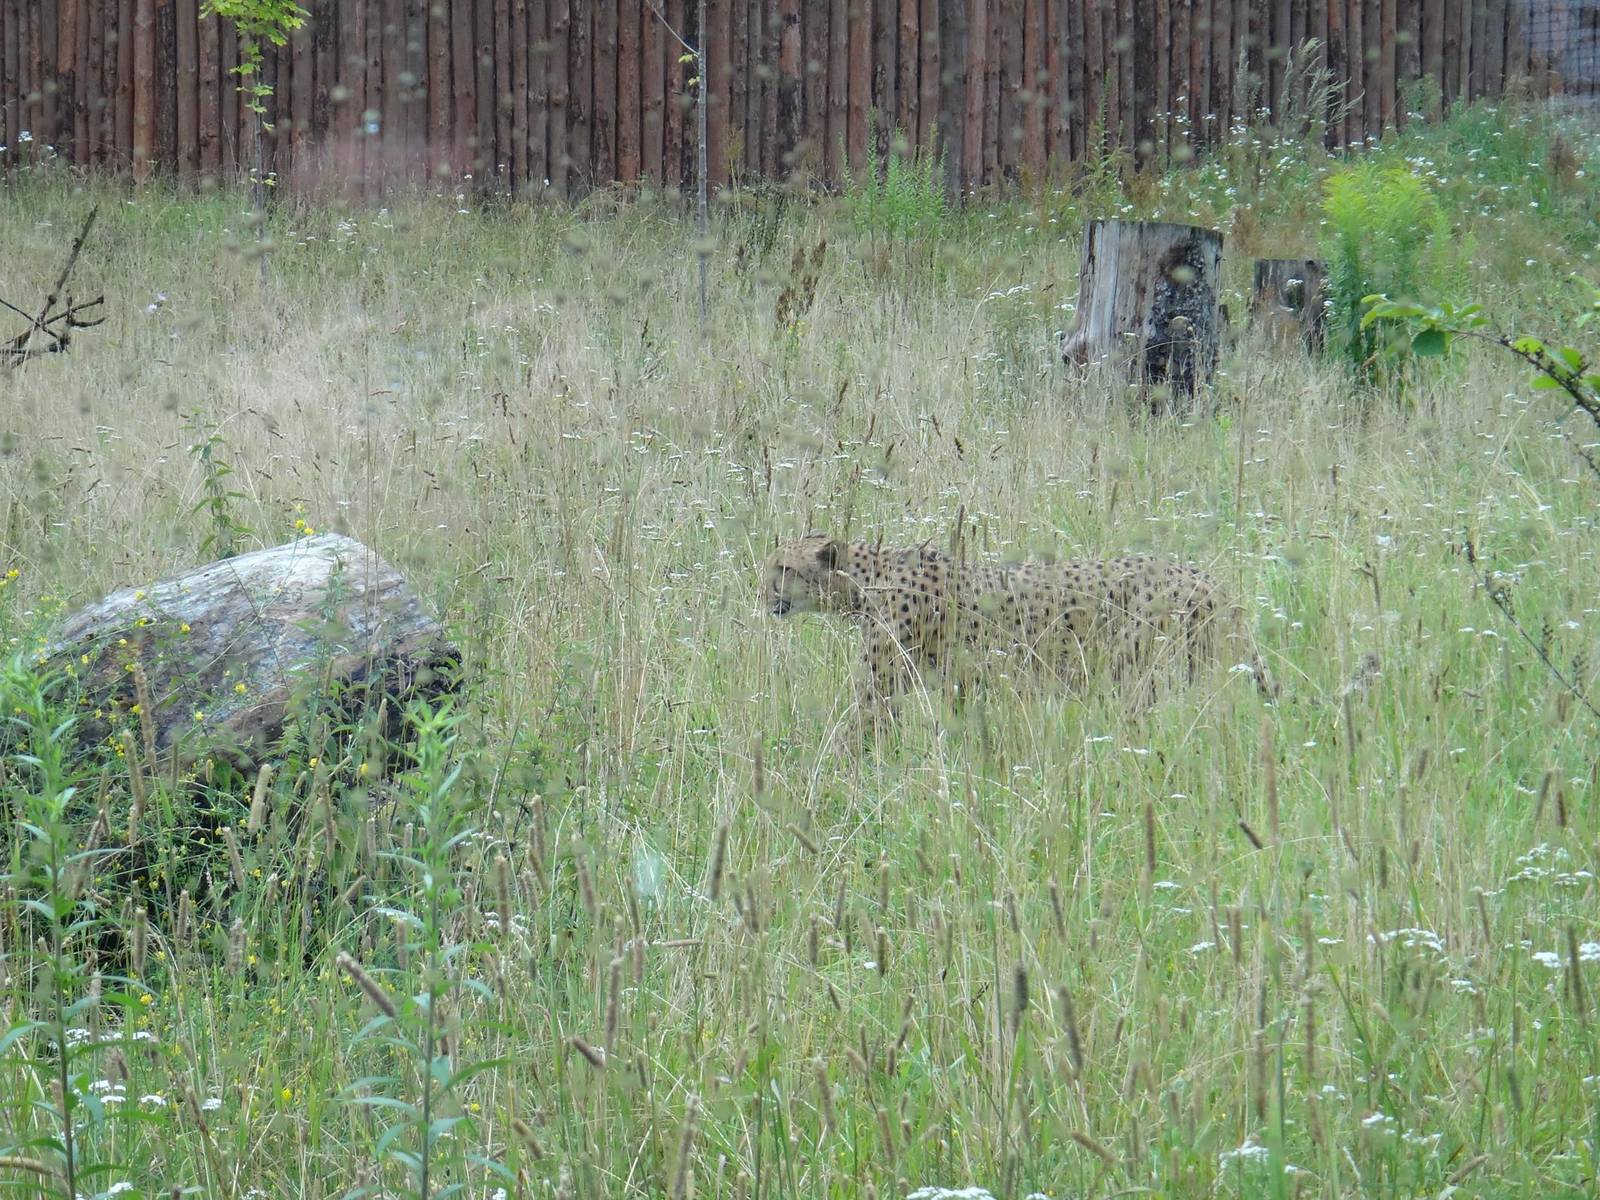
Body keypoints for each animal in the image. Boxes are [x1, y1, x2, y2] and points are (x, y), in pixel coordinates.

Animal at [760, 533, 1277, 720]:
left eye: (783, 568)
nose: (762, 593)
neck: (869, 577)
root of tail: (1206, 576)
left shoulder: (880, 689)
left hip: (1141, 674)